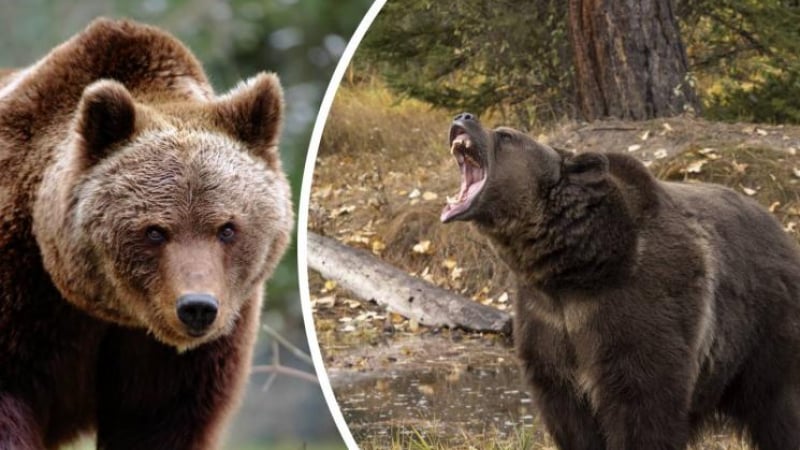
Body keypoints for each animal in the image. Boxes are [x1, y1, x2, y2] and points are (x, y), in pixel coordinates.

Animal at [0, 18, 294, 450]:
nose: (197, 307)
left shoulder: (184, 355)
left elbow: (158, 422)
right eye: (155, 231)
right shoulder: (23, 298)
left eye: (227, 228)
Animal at [440, 112, 800, 450]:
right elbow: (569, 417)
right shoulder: (547, 323)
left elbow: (643, 405)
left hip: (765, 331)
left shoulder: (638, 309)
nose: (464, 117)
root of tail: (781, 231)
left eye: (506, 135)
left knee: (781, 410)